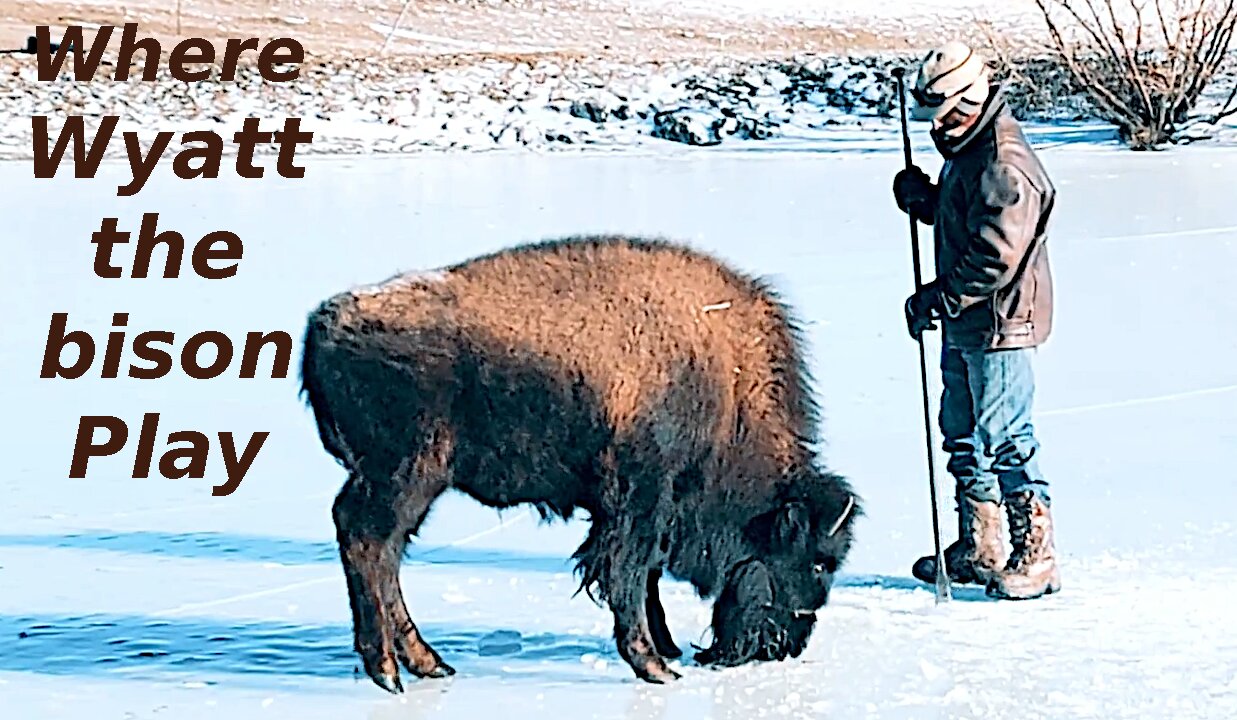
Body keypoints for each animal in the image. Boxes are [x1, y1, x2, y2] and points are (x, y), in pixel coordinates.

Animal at [299, 235, 860, 692]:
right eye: (818, 561)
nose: (786, 645)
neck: (725, 389)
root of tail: (323, 324)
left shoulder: (635, 509)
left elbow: (643, 575)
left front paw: (665, 647)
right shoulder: (641, 499)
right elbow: (628, 574)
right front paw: (656, 666)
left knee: (387, 552)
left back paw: (428, 664)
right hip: (406, 475)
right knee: (369, 541)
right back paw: (390, 671)